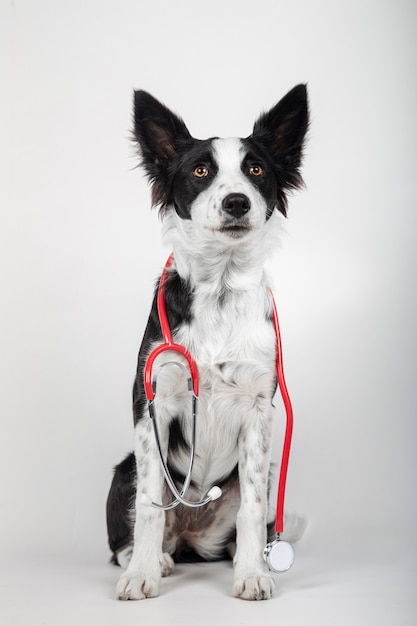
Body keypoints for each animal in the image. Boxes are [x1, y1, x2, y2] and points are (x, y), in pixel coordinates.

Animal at [106, 85, 308, 596]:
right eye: (201, 171)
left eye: (256, 170)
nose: (236, 202)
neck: (220, 288)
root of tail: (190, 537)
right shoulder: (152, 402)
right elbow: (149, 506)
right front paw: (141, 574)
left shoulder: (259, 409)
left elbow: (254, 509)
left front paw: (253, 573)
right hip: (125, 470)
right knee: (130, 533)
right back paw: (152, 559)